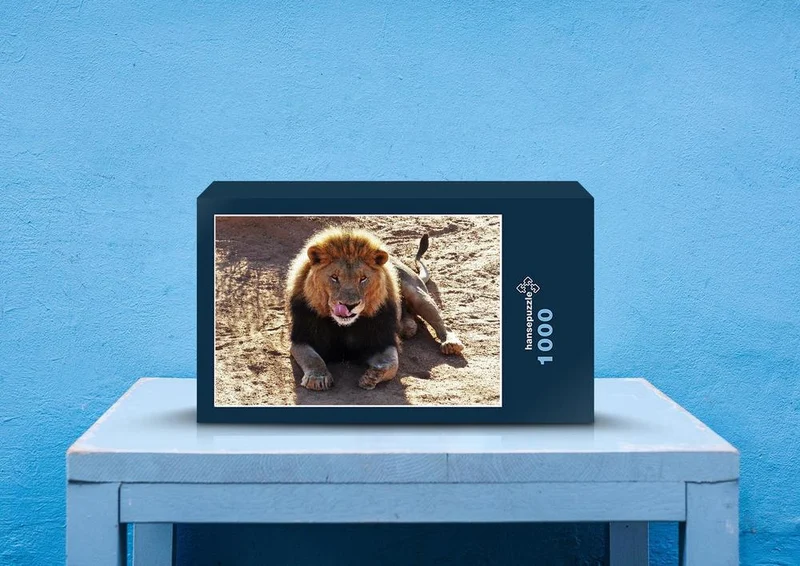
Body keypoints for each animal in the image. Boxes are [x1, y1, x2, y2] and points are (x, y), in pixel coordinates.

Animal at [285, 227, 464, 391]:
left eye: (363, 278)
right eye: (334, 277)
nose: (349, 306)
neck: (344, 326)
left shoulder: (382, 341)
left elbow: (392, 364)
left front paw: (373, 376)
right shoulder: (302, 339)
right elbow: (312, 358)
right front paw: (318, 378)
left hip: (417, 294)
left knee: (440, 322)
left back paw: (450, 343)